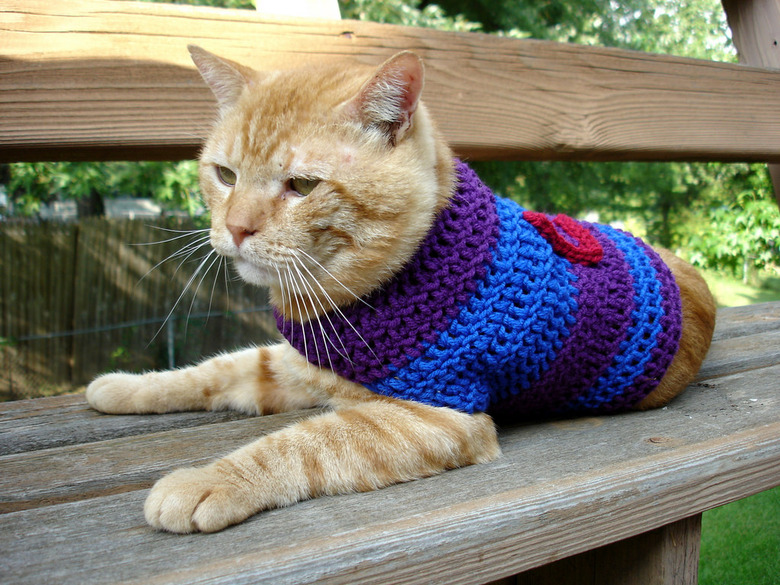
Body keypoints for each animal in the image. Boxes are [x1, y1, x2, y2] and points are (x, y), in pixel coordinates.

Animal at [85, 48, 712, 532]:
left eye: (302, 185)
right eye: (225, 175)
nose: (236, 228)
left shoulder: (437, 414)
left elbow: (301, 445)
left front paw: (209, 480)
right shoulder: (296, 366)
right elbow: (209, 372)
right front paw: (123, 387)